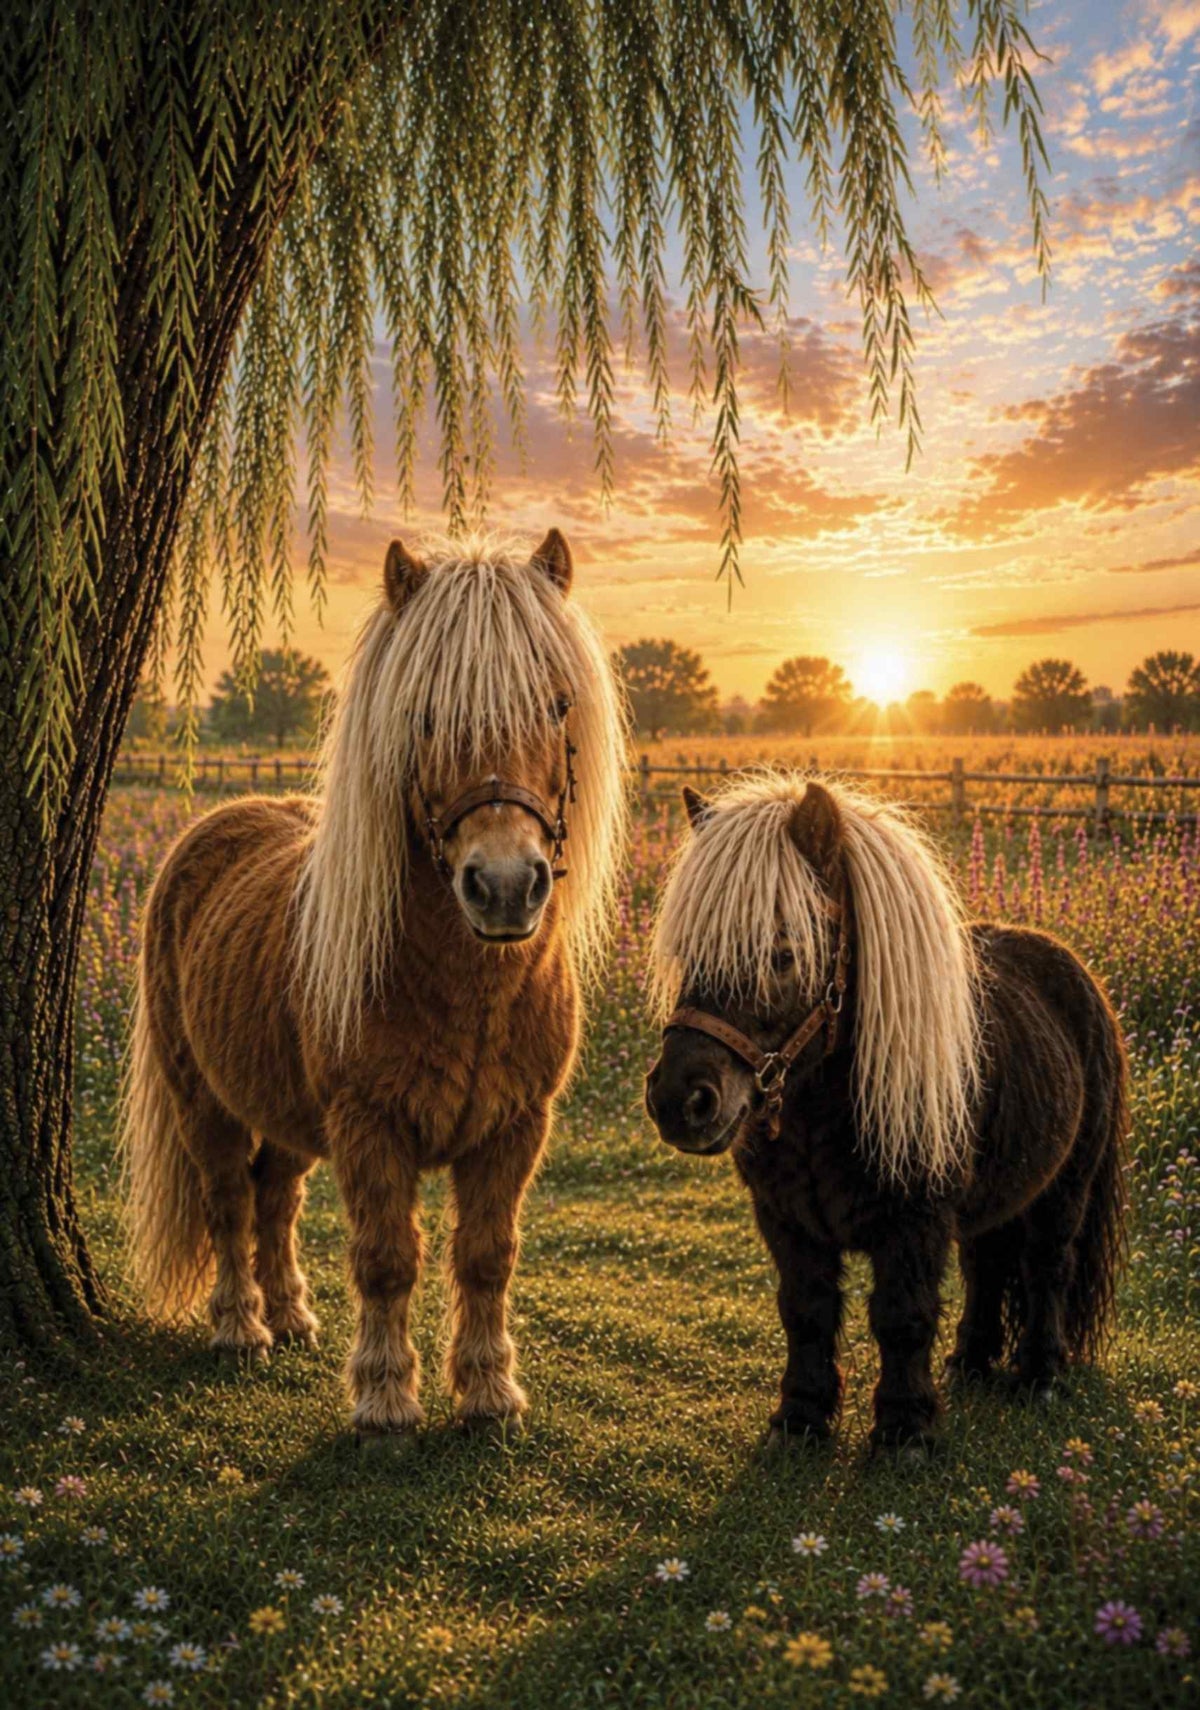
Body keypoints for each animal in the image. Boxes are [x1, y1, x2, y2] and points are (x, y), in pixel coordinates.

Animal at [122, 532, 626, 1438]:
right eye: (424, 716)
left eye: (557, 705)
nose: (505, 886)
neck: (467, 989)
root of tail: (214, 827)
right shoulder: (370, 1127)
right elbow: (388, 1260)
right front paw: (386, 1400)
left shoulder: (514, 1131)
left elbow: (487, 1257)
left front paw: (489, 1393)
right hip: (203, 1101)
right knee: (228, 1201)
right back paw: (241, 1328)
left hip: (284, 1110)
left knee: (276, 1199)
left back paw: (292, 1316)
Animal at [644, 772, 1128, 1453]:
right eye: (688, 951)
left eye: (784, 953)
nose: (678, 1101)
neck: (825, 1112)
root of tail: (1079, 976)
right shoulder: (787, 1222)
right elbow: (806, 1312)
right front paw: (800, 1419)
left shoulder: (914, 1225)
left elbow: (903, 1318)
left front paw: (904, 1434)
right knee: (986, 1266)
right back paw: (970, 1364)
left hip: (1064, 1191)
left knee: (1046, 1269)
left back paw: (1038, 1376)